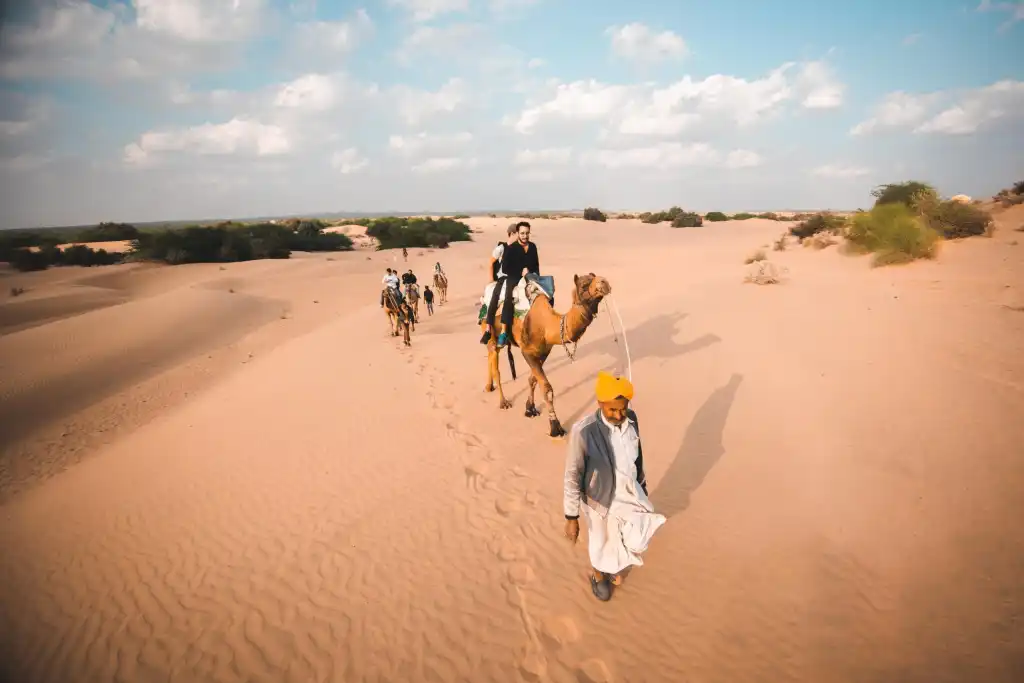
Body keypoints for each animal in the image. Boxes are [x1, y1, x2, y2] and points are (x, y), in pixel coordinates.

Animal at [483, 272, 610, 438]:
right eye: (583, 285)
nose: (605, 282)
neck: (548, 326)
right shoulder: (527, 352)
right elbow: (547, 388)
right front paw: (555, 427)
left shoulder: (544, 352)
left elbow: (533, 380)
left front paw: (530, 408)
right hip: (491, 332)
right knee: (495, 365)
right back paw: (503, 402)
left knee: (490, 359)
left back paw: (489, 387)